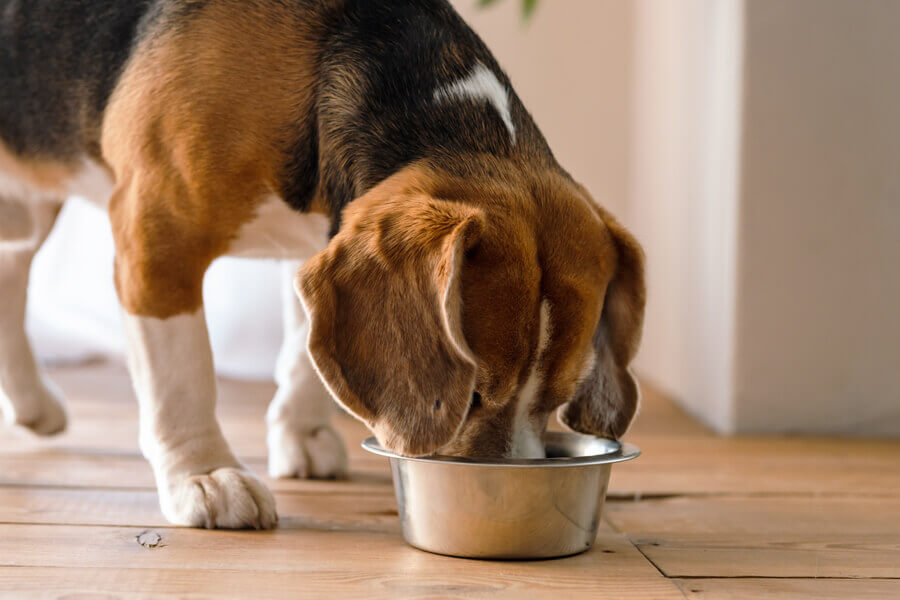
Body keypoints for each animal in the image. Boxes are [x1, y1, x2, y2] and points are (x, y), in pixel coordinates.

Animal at [0, 0, 648, 524]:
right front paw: (203, 475)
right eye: (471, 397)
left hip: (24, 213)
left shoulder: (320, 246)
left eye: (557, 399)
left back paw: (31, 405)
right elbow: (182, 375)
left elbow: (307, 355)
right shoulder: (157, 238)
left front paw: (302, 433)